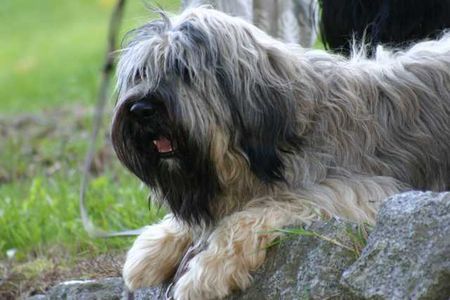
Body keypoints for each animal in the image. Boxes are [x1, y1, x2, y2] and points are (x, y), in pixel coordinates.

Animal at [110, 7, 450, 300]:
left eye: (183, 70)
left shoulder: (358, 187)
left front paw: (207, 271)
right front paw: (152, 249)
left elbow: (251, 215)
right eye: (141, 73)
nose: (141, 109)